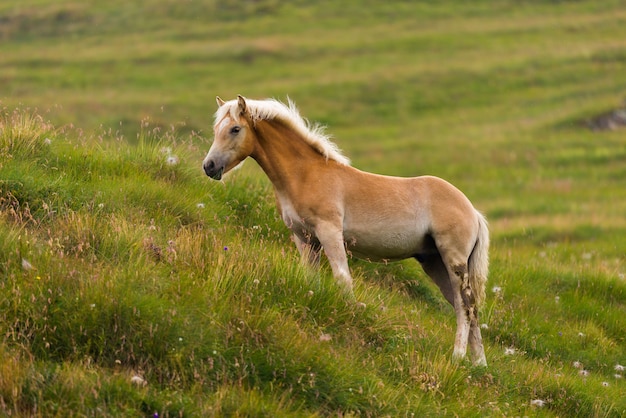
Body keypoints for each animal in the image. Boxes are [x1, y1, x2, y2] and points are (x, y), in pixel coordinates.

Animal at [202, 95, 490, 366]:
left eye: (235, 129)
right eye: (216, 128)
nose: (209, 166)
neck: (305, 174)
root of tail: (473, 212)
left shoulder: (329, 232)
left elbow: (343, 279)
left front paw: (353, 318)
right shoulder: (304, 239)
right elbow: (311, 280)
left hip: (453, 260)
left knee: (464, 307)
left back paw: (458, 357)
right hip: (433, 262)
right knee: (468, 308)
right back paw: (479, 365)